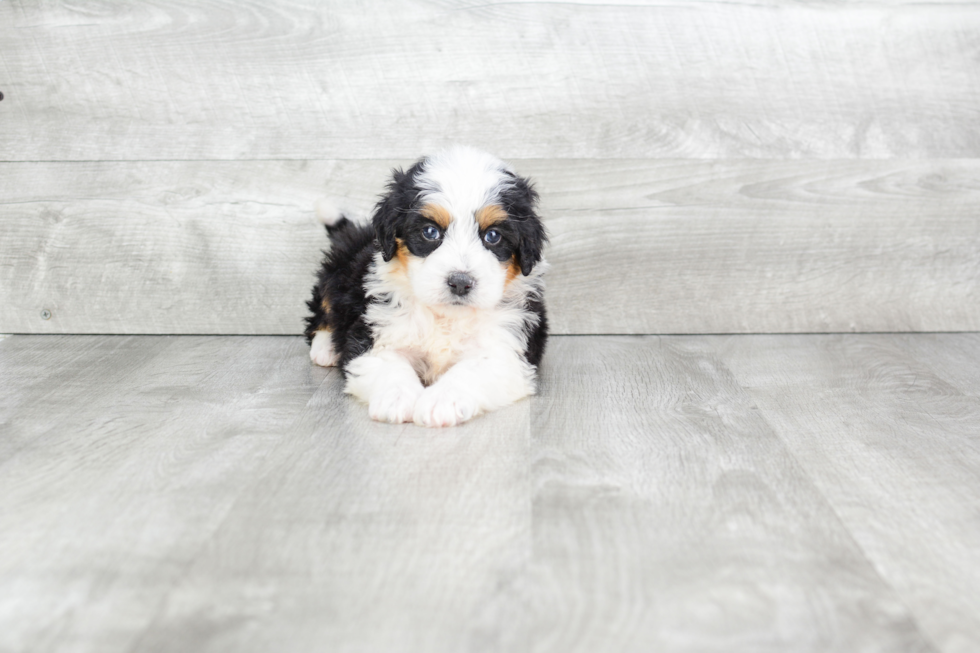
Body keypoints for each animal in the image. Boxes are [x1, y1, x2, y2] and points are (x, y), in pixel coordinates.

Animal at [304, 145, 548, 426]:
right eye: (430, 232)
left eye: (493, 236)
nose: (460, 283)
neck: (445, 317)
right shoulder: (376, 336)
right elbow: (389, 365)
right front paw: (396, 398)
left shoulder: (507, 351)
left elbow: (471, 370)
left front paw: (442, 401)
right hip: (337, 271)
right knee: (321, 308)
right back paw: (325, 348)